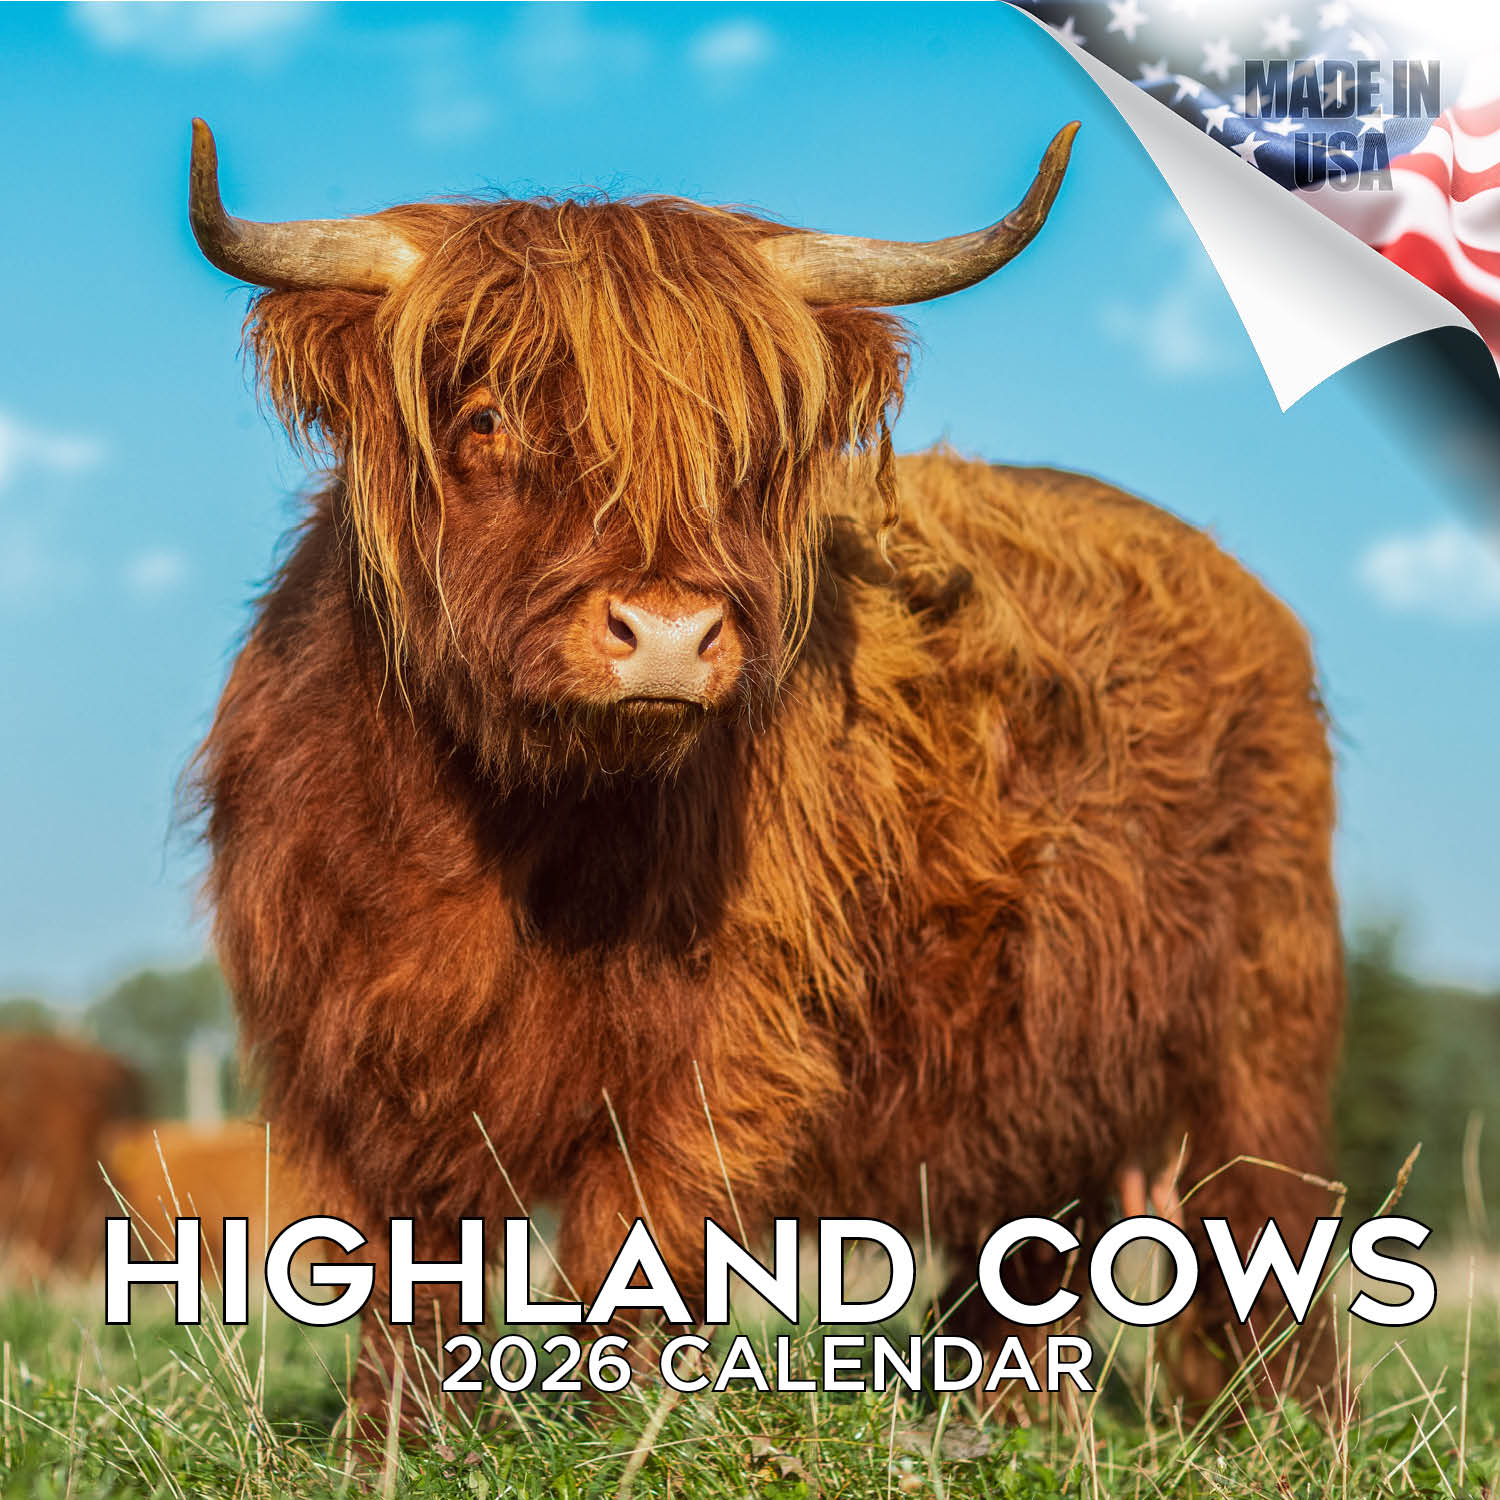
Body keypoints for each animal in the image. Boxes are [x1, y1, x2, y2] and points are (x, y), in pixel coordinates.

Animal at [186, 117, 1344, 1433]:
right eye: (484, 418)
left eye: (739, 444)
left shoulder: (724, 1036)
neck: (509, 833)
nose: (669, 632)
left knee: (1264, 1221)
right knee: (1034, 1247)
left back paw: (1283, 1425)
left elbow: (640, 1236)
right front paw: (393, 1440)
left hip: (1260, 1018)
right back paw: (1000, 1418)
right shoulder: (353, 1036)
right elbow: (404, 1264)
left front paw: (615, 1430)